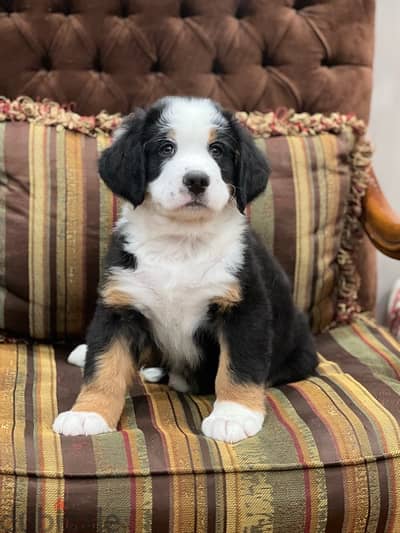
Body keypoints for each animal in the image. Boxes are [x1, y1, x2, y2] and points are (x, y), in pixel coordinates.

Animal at [53, 97, 318, 442]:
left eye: (217, 150)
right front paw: (88, 413)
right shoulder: (119, 306)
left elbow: (239, 367)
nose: (196, 180)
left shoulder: (245, 309)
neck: (181, 243)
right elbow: (104, 365)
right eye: (166, 148)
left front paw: (233, 415)